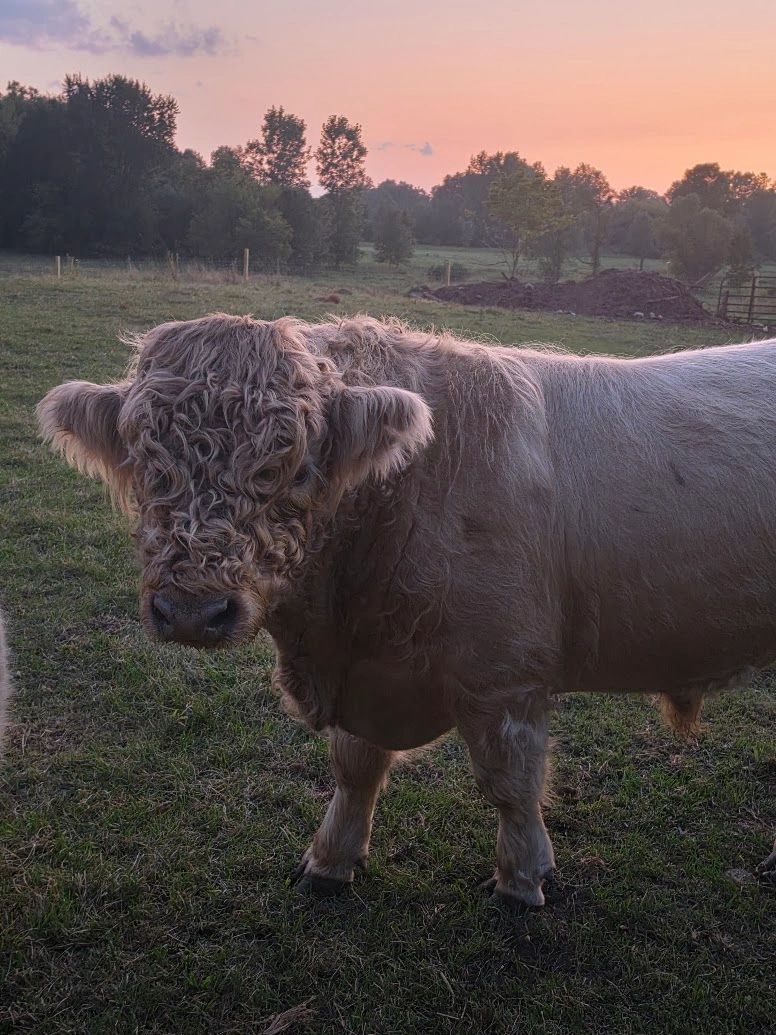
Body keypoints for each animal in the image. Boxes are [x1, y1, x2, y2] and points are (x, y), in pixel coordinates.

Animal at [37, 314, 776, 906]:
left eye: (295, 464)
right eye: (144, 460)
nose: (192, 609)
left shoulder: (506, 677)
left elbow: (511, 784)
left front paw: (521, 882)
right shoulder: (367, 671)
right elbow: (354, 768)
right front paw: (330, 861)